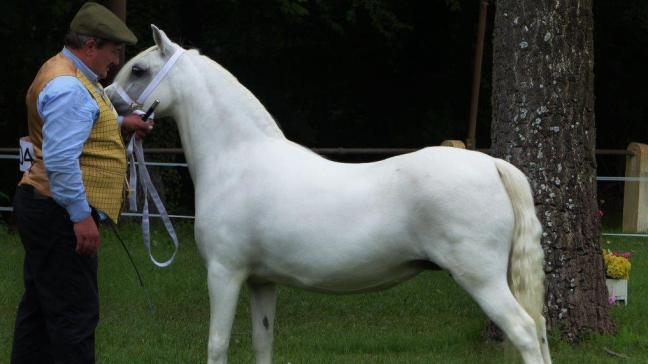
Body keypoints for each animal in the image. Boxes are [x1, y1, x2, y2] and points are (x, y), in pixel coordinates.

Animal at [106, 26, 552, 364]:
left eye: (139, 70)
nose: (107, 105)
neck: (239, 158)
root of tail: (491, 164)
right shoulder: (261, 282)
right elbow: (263, 345)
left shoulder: (224, 272)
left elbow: (217, 346)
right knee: (542, 330)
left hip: (481, 278)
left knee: (525, 332)